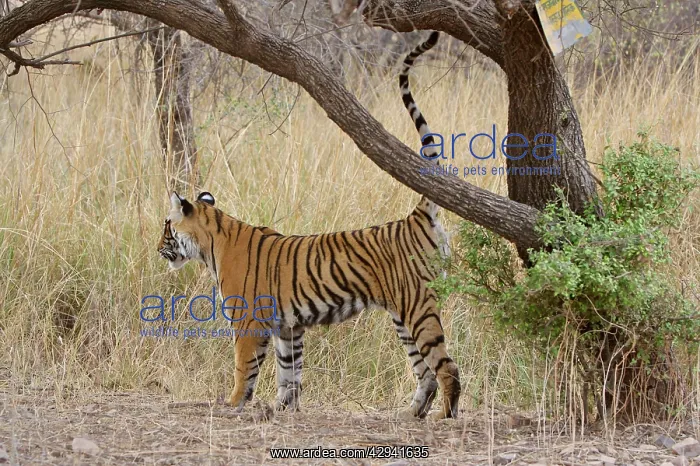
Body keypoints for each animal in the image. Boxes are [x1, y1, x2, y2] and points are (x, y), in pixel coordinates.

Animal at [157, 31, 460, 419]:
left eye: (167, 226)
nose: (158, 247)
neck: (212, 243)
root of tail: (416, 216)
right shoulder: (289, 326)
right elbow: (290, 371)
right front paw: (282, 407)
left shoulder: (248, 320)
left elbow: (244, 366)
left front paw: (235, 402)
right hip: (401, 315)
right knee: (425, 371)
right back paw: (412, 413)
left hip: (418, 306)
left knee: (445, 365)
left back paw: (445, 416)